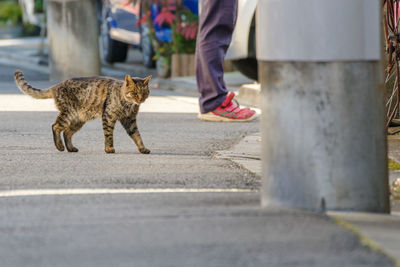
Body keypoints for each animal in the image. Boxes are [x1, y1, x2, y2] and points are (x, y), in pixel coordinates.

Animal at [14, 70, 152, 155]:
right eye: (135, 92)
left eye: (145, 92)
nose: (141, 99)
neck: (128, 104)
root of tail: (57, 85)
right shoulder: (108, 117)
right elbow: (109, 135)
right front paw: (109, 148)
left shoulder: (130, 120)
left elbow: (137, 135)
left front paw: (142, 148)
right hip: (68, 114)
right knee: (56, 126)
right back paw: (60, 146)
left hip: (78, 120)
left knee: (67, 132)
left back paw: (70, 148)